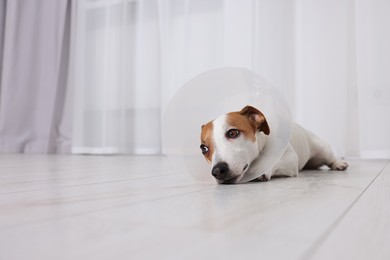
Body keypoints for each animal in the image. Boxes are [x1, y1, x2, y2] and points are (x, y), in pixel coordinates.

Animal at [201, 104, 348, 184]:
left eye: (232, 133)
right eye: (204, 148)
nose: (217, 171)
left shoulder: (290, 158)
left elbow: (274, 162)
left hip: (323, 150)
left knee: (331, 159)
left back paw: (339, 163)